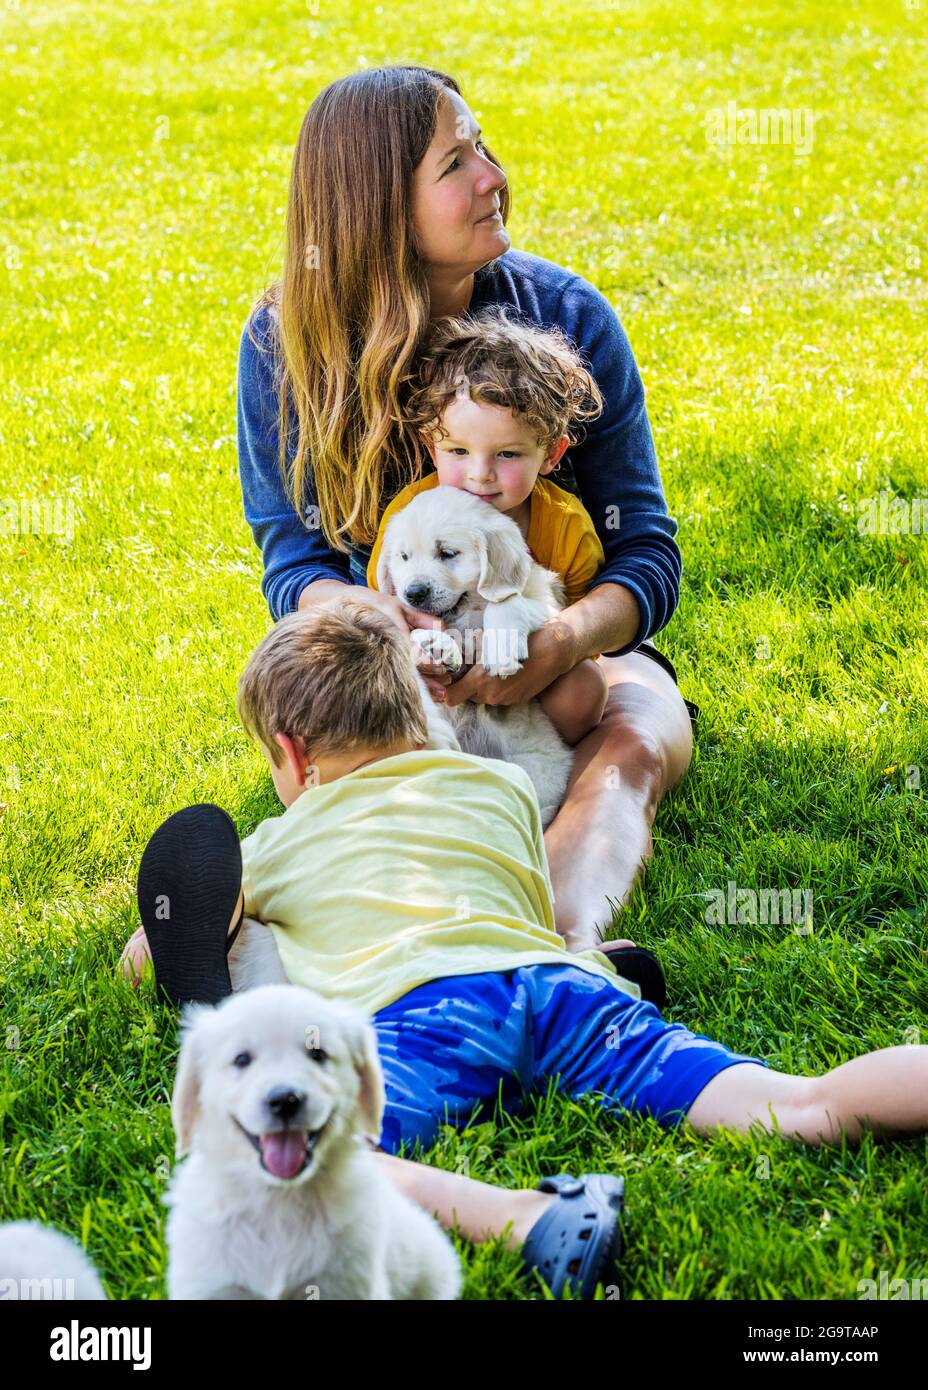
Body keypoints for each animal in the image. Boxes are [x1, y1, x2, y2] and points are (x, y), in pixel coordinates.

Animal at [377, 483, 572, 822]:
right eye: (404, 557)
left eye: (447, 554)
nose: (413, 593)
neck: (466, 614)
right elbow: (412, 628)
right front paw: (436, 644)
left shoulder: (549, 606)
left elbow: (507, 602)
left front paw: (502, 650)